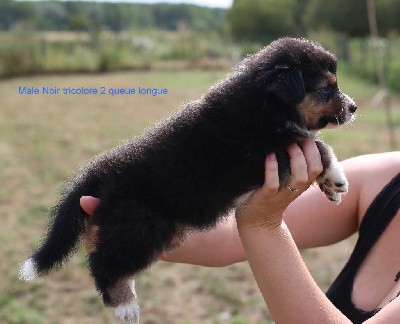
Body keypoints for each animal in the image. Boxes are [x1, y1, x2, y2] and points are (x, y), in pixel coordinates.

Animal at [19, 37, 356, 322]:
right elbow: (317, 145)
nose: (354, 107)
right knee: (104, 264)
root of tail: (101, 169)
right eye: (326, 88)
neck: (263, 105)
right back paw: (125, 305)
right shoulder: (268, 154)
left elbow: (314, 143)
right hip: (142, 225)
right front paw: (337, 179)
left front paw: (332, 185)